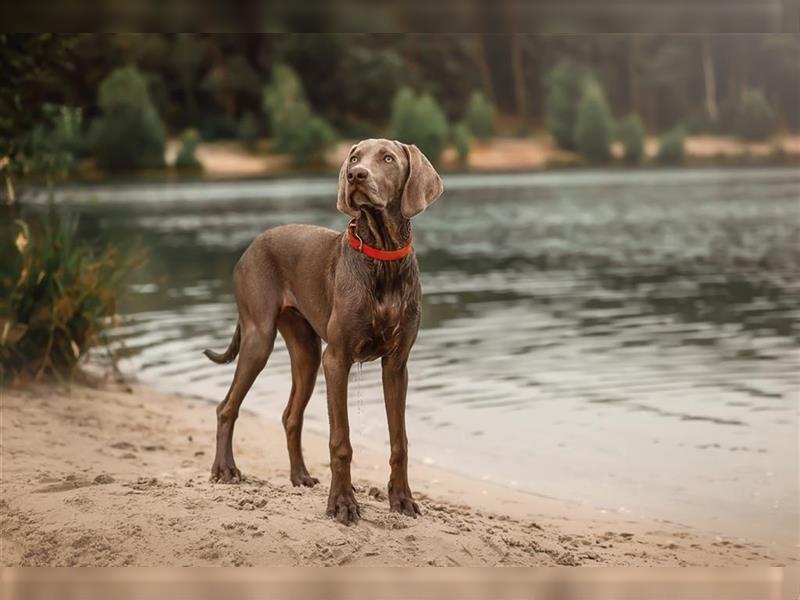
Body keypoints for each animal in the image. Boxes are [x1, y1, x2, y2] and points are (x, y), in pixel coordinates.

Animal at [203, 138, 444, 524]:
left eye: (388, 159)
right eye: (355, 157)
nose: (355, 175)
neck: (382, 257)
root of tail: (253, 244)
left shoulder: (396, 364)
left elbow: (399, 441)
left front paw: (402, 499)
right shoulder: (338, 359)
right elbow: (340, 441)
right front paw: (343, 503)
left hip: (306, 351)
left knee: (290, 416)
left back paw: (299, 476)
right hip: (260, 337)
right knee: (226, 407)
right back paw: (225, 469)